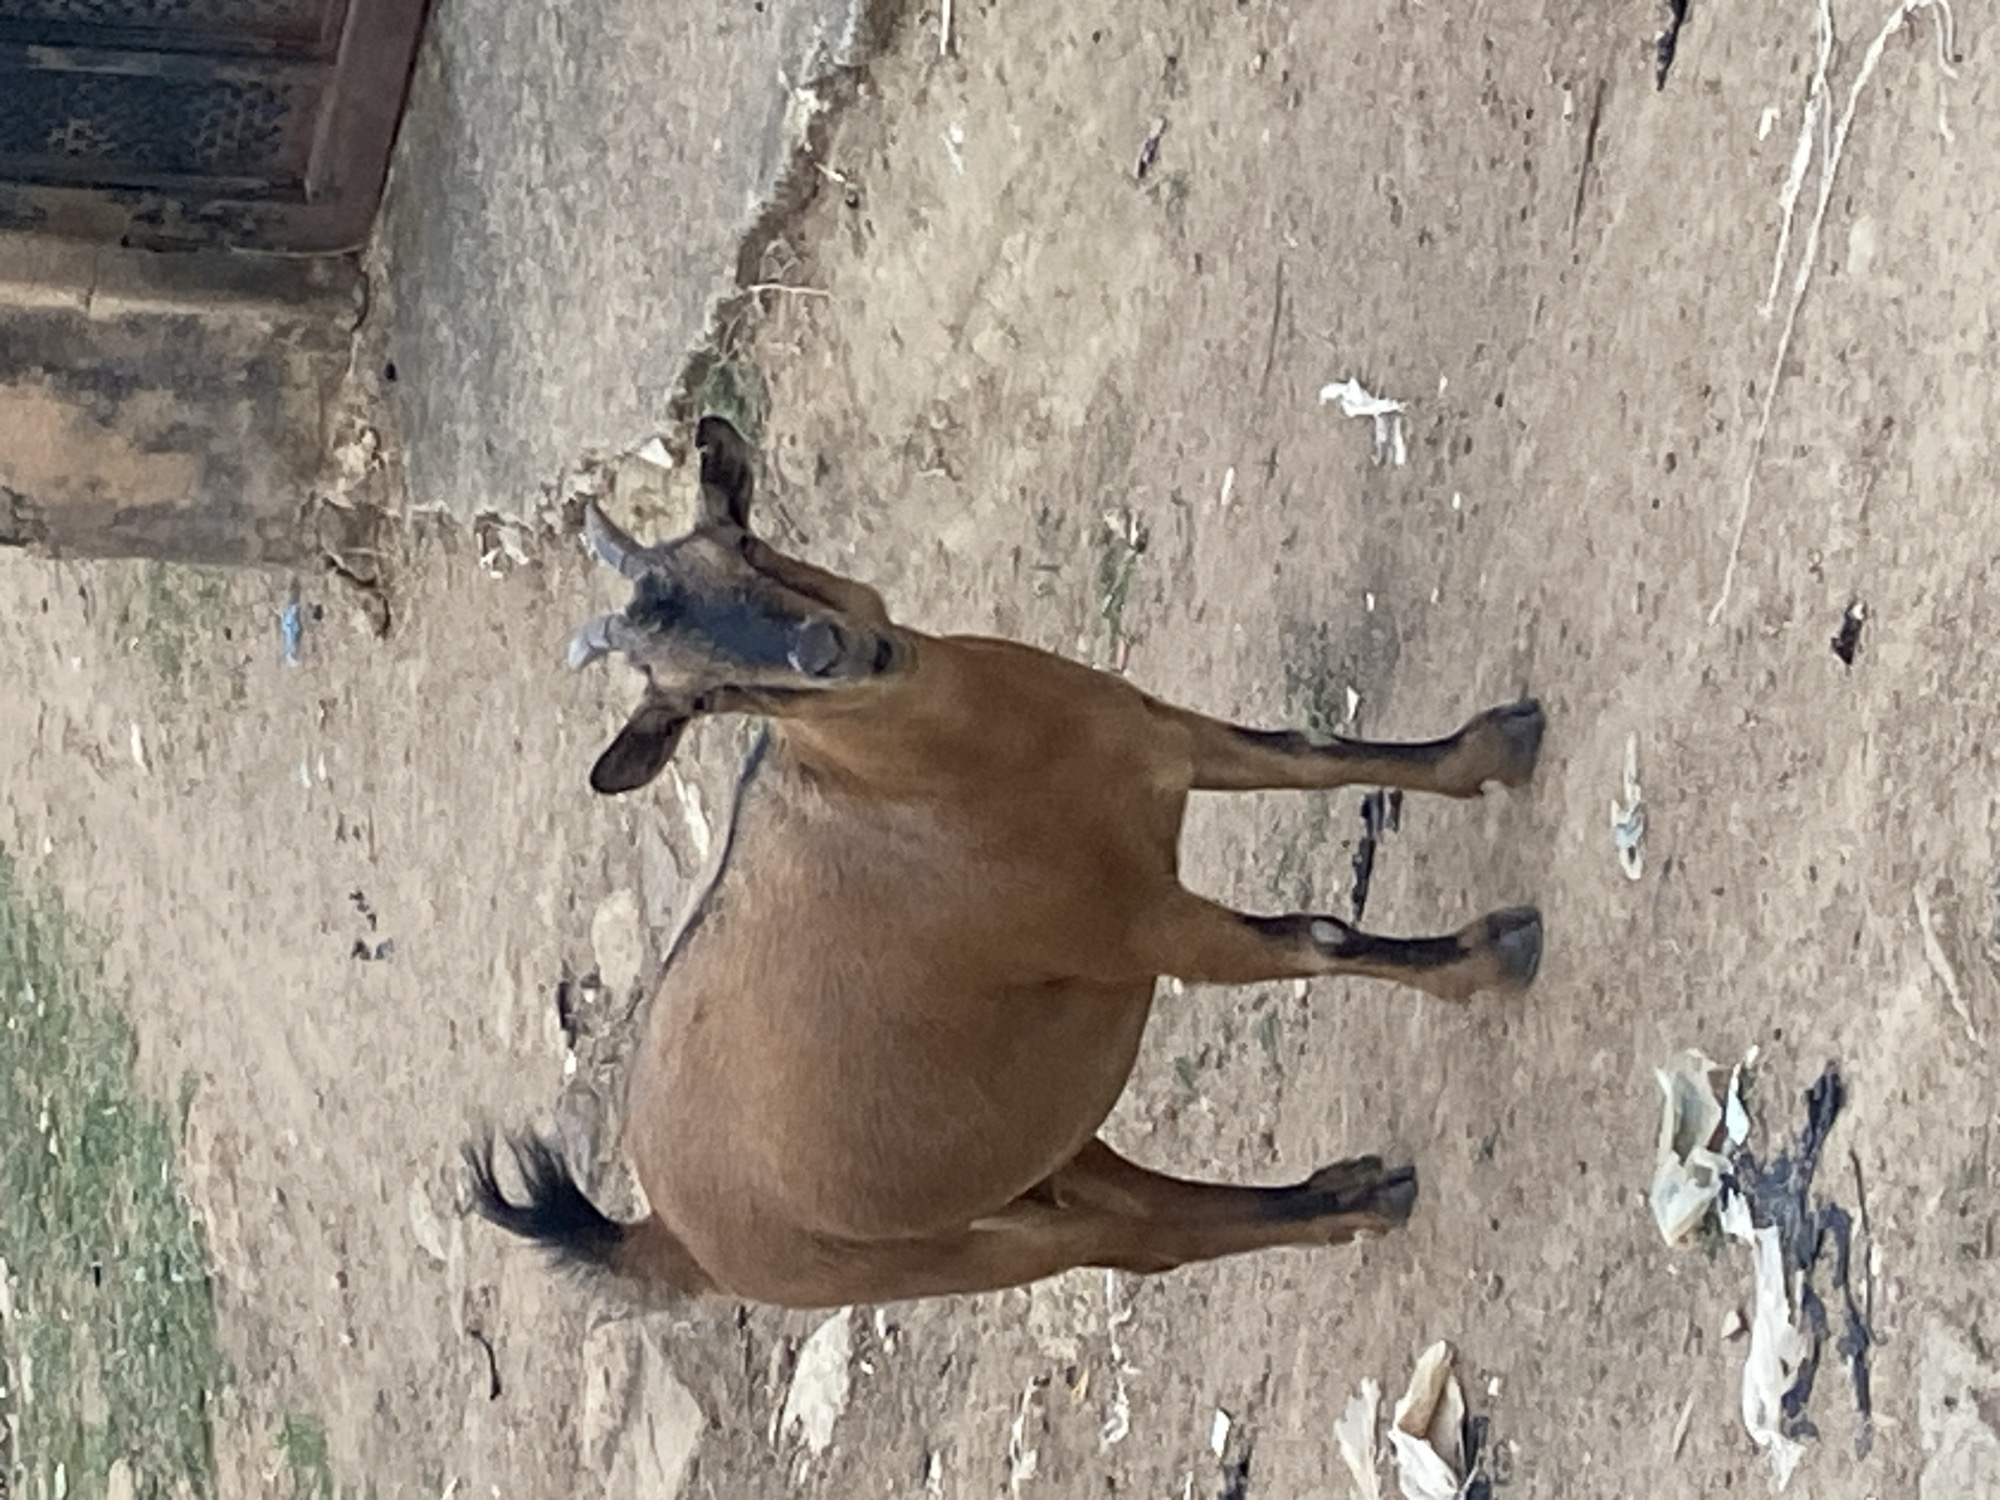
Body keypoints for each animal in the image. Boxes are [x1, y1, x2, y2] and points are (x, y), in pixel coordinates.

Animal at [465, 415, 1544, 1309]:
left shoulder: (1166, 742)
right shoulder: (1140, 929)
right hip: (965, 1249)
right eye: (701, 697)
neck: (963, 771)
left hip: (1033, 1149)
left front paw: (1493, 747)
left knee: (1144, 1206)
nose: (830, 651)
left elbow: (1310, 748)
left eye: (742, 545)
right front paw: (1493, 955)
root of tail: (667, 1233)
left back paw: (1349, 1183)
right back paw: (1357, 1203)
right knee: (1147, 1243)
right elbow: (1317, 937)